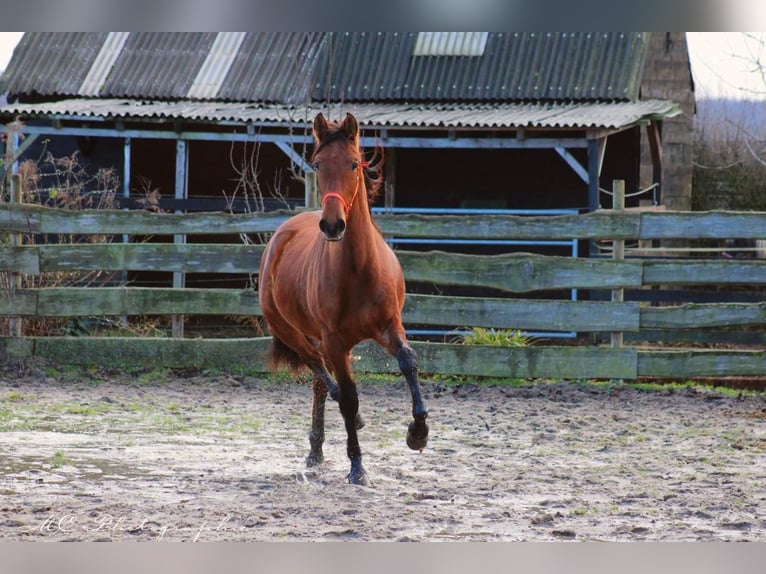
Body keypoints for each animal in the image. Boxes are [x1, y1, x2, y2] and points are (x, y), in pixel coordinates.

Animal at [256, 111, 426, 486]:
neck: (358, 268)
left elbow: (408, 362)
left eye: (352, 163)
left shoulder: (390, 326)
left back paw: (317, 451)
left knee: (321, 385)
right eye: (318, 165)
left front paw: (418, 433)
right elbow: (348, 397)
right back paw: (330, 440)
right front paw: (357, 468)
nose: (332, 225)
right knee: (322, 375)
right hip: (295, 334)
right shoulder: (335, 341)